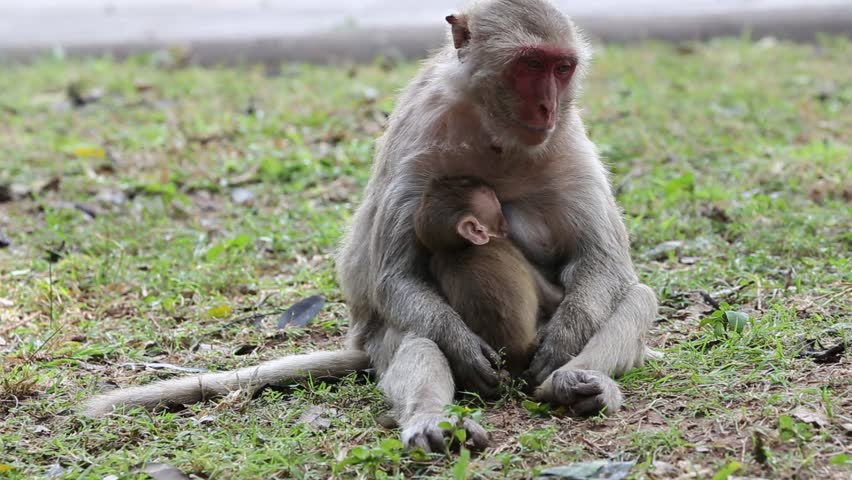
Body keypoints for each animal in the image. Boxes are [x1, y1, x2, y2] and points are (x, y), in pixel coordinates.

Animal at [414, 176, 564, 376]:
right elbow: (552, 297)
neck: (457, 249)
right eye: (494, 202)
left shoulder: (436, 262)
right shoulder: (509, 248)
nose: (486, 187)